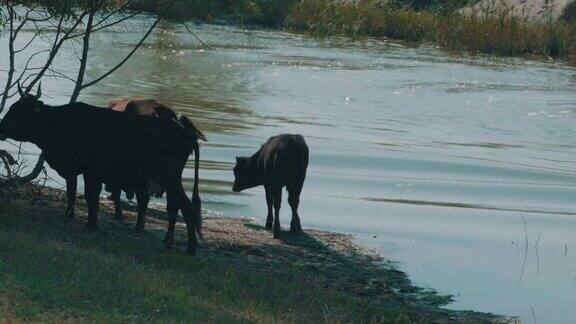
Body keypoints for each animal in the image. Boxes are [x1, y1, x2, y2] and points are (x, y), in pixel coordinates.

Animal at [0, 84, 202, 256]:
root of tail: (187, 132)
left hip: (168, 177)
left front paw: (88, 224)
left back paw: (191, 248)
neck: (58, 123)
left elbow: (89, 196)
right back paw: (169, 241)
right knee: (174, 206)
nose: (1, 128)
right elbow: (75, 193)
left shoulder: (88, 170)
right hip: (167, 179)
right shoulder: (79, 170)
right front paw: (72, 218)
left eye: (17, 111)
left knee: (186, 206)